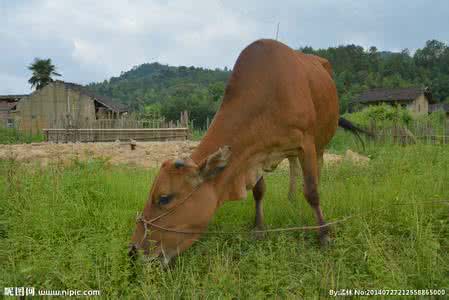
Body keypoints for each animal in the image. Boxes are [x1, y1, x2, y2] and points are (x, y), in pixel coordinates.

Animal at [130, 38, 346, 264]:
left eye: (164, 198)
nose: (133, 251)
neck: (269, 94)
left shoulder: (306, 143)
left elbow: (312, 191)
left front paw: (324, 235)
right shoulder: (256, 155)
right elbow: (259, 191)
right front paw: (259, 229)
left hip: (321, 142)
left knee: (317, 171)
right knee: (293, 167)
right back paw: (291, 199)